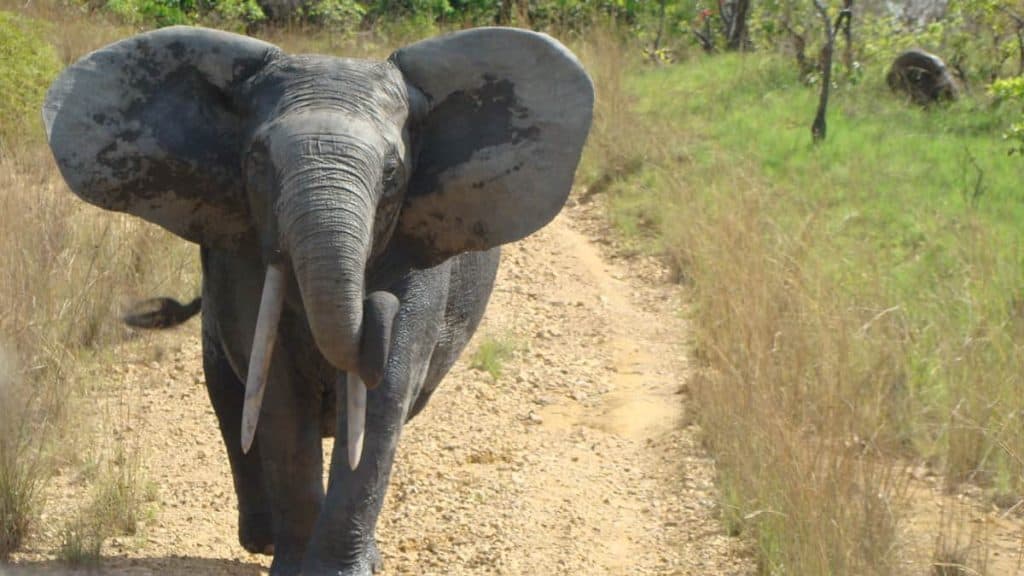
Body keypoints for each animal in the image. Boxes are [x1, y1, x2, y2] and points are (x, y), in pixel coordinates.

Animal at [42, 25, 593, 575]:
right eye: (257, 162)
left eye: (392, 174)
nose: (378, 303)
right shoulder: (243, 255)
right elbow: (278, 392)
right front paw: (295, 567)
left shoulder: (418, 255)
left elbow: (385, 392)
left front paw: (338, 568)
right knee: (228, 392)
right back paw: (263, 540)